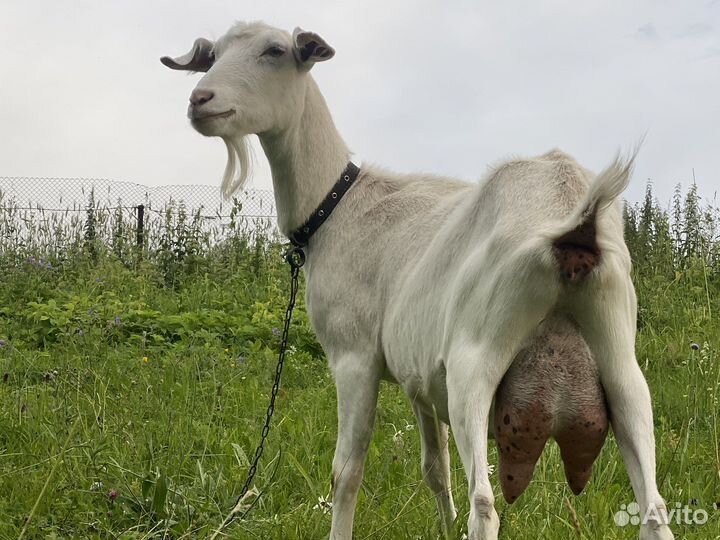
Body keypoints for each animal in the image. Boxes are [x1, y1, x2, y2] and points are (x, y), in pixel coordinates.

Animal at [161, 21, 674, 540]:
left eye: (275, 51)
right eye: (213, 56)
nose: (201, 100)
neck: (337, 206)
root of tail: (575, 225)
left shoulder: (354, 357)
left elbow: (347, 472)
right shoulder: (420, 381)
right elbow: (435, 468)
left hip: (475, 364)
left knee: (484, 504)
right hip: (622, 368)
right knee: (653, 507)